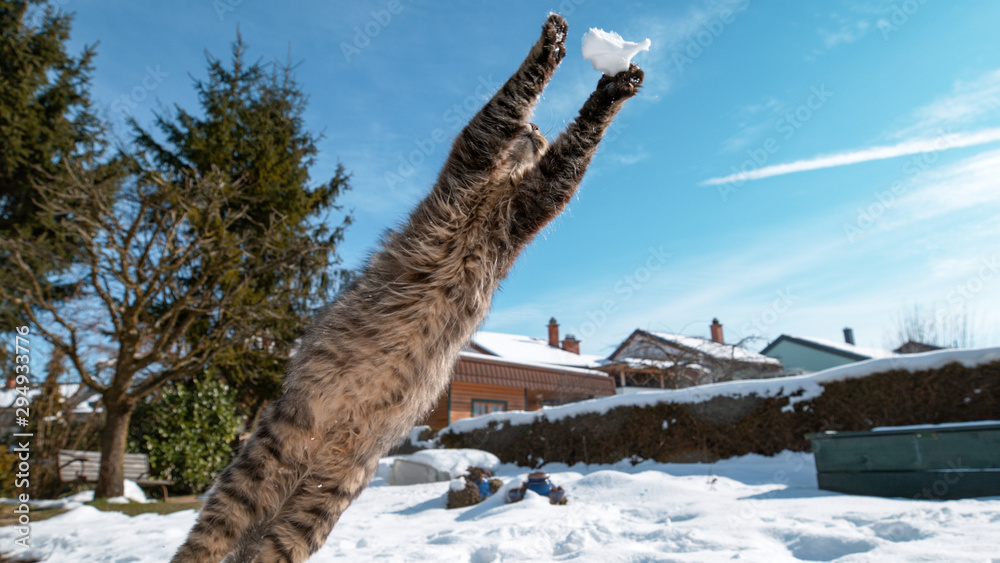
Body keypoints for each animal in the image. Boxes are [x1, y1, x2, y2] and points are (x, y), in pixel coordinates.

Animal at [171, 14, 640, 563]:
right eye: (534, 127)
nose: (536, 130)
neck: (493, 193)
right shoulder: (484, 148)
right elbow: (520, 92)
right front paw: (555, 48)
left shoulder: (535, 197)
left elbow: (574, 144)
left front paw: (611, 88)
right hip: (247, 484)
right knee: (202, 544)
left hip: (309, 515)